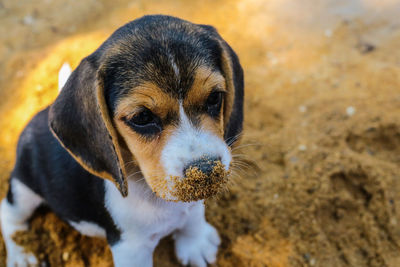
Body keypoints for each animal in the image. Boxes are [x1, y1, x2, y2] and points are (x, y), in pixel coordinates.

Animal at [0, 15, 244, 267]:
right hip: (23, 189)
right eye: (142, 117)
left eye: (214, 97)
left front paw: (196, 243)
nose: (207, 172)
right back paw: (21, 252)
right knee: (8, 214)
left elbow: (193, 216)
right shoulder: (131, 248)